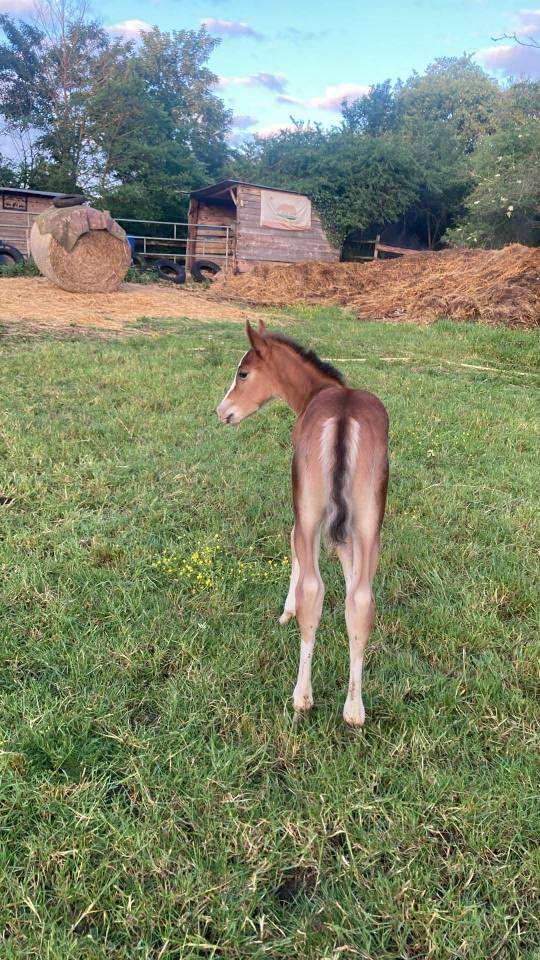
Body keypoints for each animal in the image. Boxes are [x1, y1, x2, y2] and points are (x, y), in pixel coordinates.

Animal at [217, 320, 389, 726]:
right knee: (362, 598)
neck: (318, 392)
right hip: (369, 520)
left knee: (312, 588)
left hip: (309, 511)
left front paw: (286, 610)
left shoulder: (303, 511)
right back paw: (354, 709)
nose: (221, 411)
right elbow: (350, 575)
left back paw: (302, 697)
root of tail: (343, 416)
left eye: (242, 373)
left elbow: (294, 547)